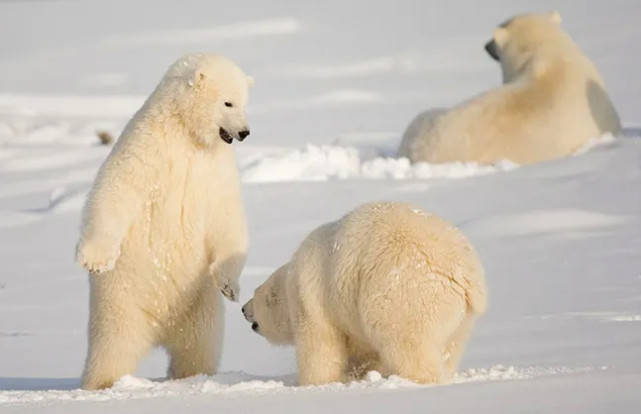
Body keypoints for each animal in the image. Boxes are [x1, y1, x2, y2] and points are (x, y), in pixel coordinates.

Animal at [75, 53, 253, 390]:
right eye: (228, 102)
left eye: (244, 101)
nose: (245, 132)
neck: (185, 133)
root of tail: (161, 328)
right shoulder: (147, 148)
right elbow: (116, 189)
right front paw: (95, 259)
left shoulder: (215, 168)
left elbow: (226, 216)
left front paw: (230, 286)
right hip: (121, 302)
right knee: (112, 348)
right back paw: (104, 383)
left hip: (199, 307)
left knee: (199, 348)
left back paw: (193, 376)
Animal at [242, 202, 487, 385]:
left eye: (256, 295)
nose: (244, 309)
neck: (291, 280)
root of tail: (464, 273)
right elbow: (364, 353)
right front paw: (358, 374)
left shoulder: (313, 301)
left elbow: (320, 346)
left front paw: (318, 381)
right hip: (461, 318)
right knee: (450, 347)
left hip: (405, 293)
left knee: (407, 341)